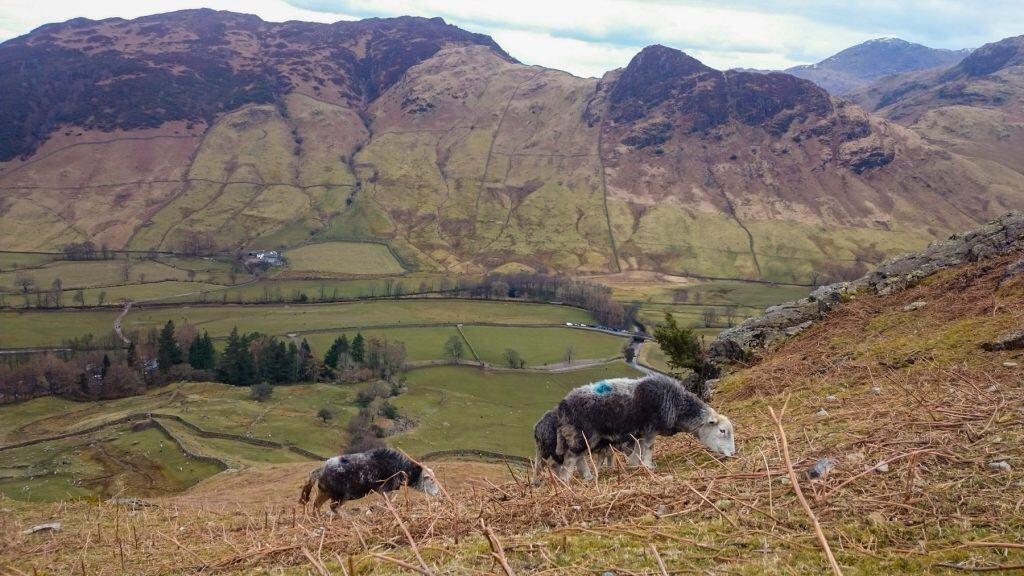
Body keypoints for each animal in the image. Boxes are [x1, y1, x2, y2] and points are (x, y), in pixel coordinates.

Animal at [299, 448, 439, 514]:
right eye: (431, 480)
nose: (439, 494)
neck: (402, 467)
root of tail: (320, 470)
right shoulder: (385, 488)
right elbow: (388, 502)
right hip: (341, 495)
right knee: (333, 507)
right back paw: (347, 517)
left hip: (325, 492)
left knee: (316, 505)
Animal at [555, 374, 735, 481]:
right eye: (722, 431)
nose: (733, 454)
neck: (677, 405)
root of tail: (564, 404)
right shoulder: (650, 428)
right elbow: (648, 447)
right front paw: (649, 466)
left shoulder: (640, 432)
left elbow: (638, 449)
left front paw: (635, 465)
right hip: (583, 433)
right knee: (571, 457)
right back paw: (565, 480)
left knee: (579, 457)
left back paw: (587, 476)